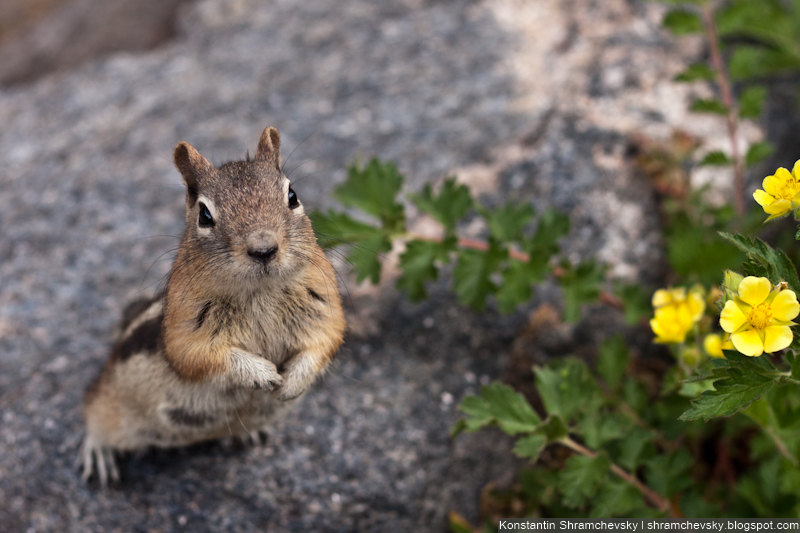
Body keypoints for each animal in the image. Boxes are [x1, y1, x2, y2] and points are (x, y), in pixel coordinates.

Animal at [79, 126, 345, 485]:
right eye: (205, 215)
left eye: (292, 196)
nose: (263, 249)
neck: (259, 291)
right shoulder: (185, 329)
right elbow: (204, 356)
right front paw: (262, 375)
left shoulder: (325, 306)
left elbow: (324, 342)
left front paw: (292, 381)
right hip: (113, 404)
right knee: (93, 407)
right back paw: (97, 451)